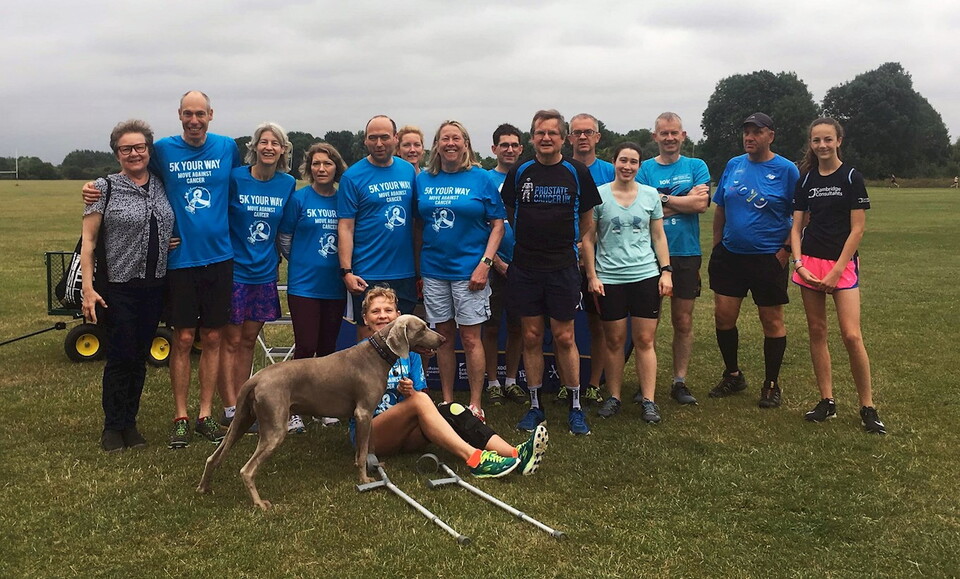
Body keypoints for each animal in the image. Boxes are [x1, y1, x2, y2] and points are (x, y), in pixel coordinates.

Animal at [196, 314, 444, 510]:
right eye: (422, 328)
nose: (442, 339)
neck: (376, 354)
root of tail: (256, 378)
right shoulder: (363, 412)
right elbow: (364, 450)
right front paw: (365, 478)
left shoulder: (363, 416)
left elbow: (364, 448)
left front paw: (372, 466)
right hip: (274, 429)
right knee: (247, 470)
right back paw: (259, 503)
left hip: (241, 421)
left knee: (212, 457)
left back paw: (203, 488)